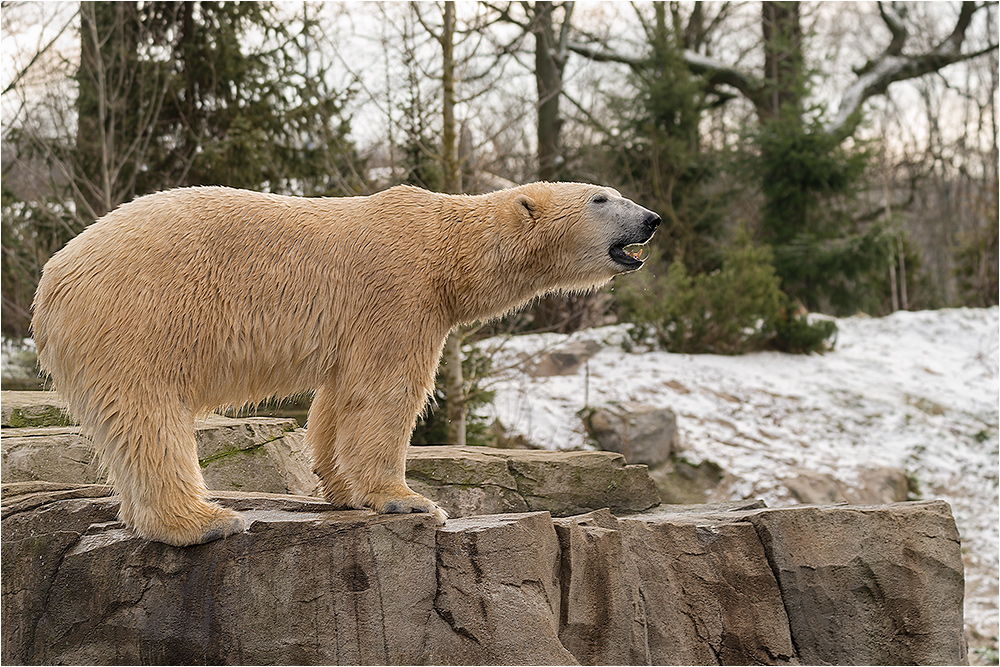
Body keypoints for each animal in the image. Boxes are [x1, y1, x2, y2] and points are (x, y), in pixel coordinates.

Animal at [33, 183, 656, 548]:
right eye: (601, 199)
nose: (650, 218)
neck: (445, 245)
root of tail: (55, 278)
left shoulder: (360, 324)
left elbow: (340, 398)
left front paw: (342, 489)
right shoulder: (400, 292)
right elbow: (387, 392)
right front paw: (408, 498)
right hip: (139, 317)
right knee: (149, 415)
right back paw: (203, 521)